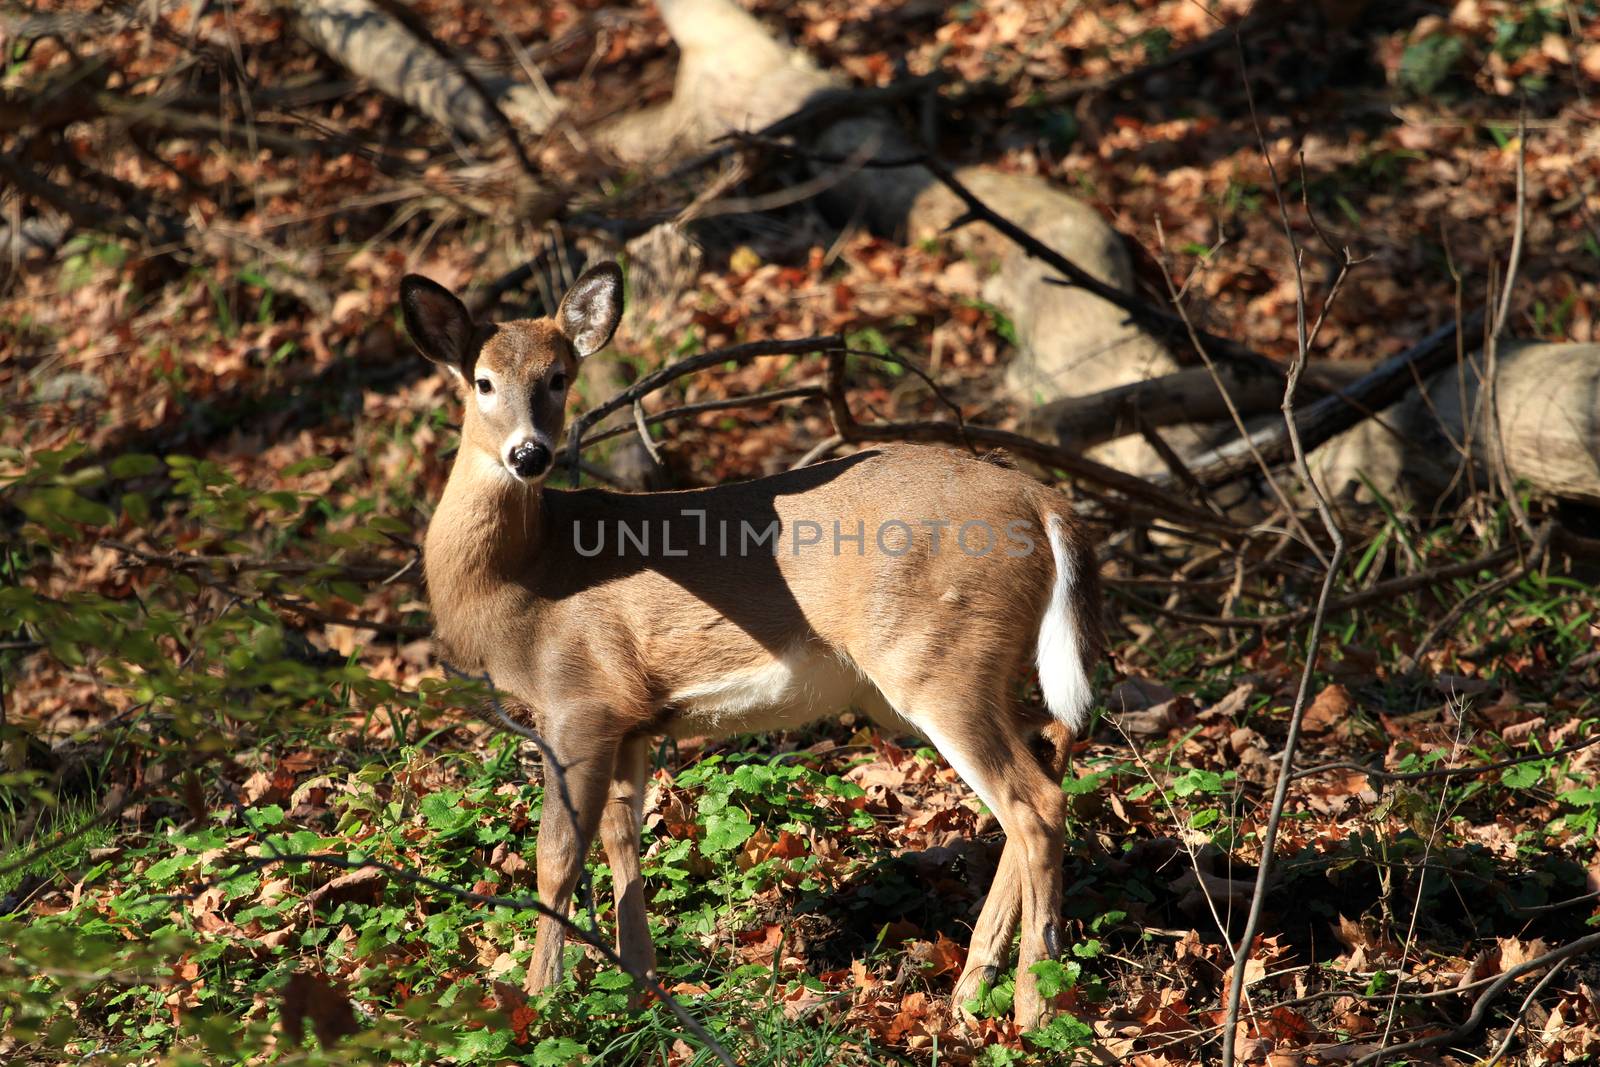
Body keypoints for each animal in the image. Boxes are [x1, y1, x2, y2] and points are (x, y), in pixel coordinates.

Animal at [398, 260, 1100, 1023]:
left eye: (559, 377)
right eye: (482, 381)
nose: (530, 453)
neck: (523, 580)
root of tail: (1043, 500)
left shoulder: (578, 698)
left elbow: (556, 854)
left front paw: (538, 999)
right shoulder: (629, 718)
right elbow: (623, 839)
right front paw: (641, 983)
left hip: (936, 658)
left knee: (1035, 805)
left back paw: (1033, 1005)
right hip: (958, 670)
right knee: (1052, 743)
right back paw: (973, 986)